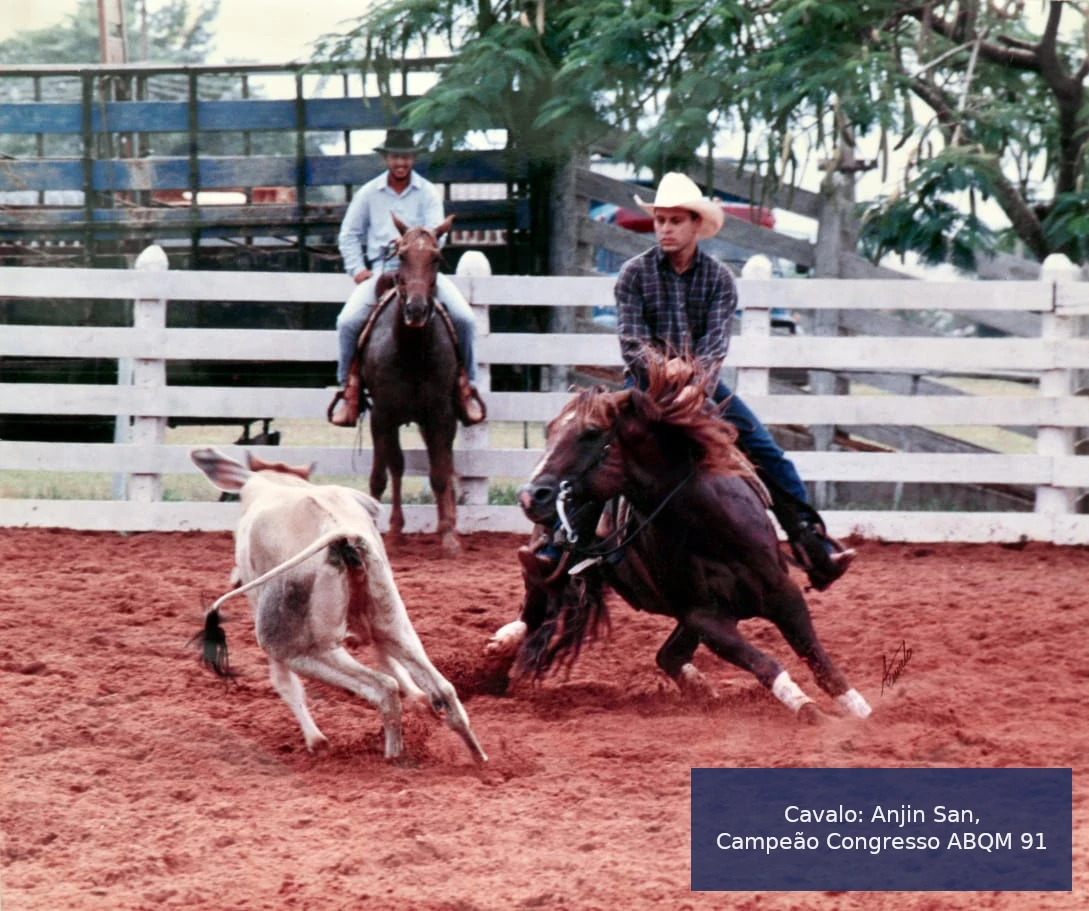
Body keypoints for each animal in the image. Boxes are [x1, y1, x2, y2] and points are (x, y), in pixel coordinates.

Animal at [190, 448, 485, 761]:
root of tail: (341, 534)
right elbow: (388, 661)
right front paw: (418, 701)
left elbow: (286, 685)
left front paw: (316, 741)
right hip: (392, 623)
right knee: (440, 688)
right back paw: (477, 756)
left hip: (298, 647)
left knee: (382, 687)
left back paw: (393, 757)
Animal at [363, 215, 461, 546]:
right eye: (403, 255)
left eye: (436, 258)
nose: (416, 310)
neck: (410, 354)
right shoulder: (381, 415)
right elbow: (383, 474)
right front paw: (384, 530)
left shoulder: (441, 414)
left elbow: (440, 473)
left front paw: (448, 535)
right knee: (396, 466)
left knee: (444, 463)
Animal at [490, 359, 871, 722]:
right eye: (551, 430)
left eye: (590, 432)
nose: (530, 496)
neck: (707, 525)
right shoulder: (705, 617)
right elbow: (765, 664)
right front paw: (811, 711)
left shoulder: (782, 592)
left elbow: (820, 662)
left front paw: (863, 712)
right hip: (546, 567)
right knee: (533, 606)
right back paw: (499, 650)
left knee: (668, 656)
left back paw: (701, 689)